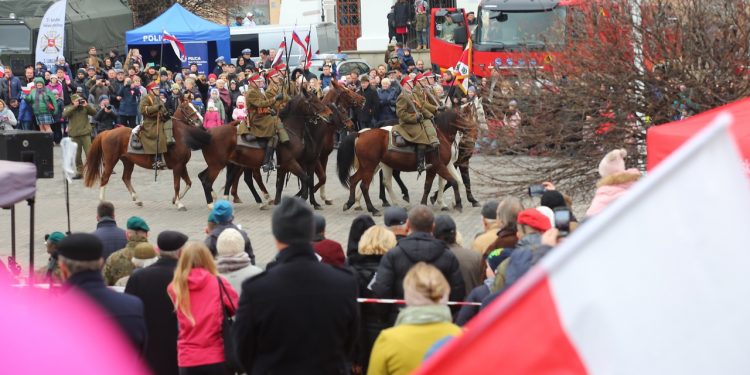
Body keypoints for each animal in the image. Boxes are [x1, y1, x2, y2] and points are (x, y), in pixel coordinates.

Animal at [338, 110, 472, 216]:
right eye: (463, 117)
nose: (471, 129)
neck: (439, 135)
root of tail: (360, 134)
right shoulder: (439, 165)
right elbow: (453, 182)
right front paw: (458, 204)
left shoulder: (435, 167)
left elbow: (429, 185)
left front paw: (426, 203)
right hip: (370, 166)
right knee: (365, 186)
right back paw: (373, 209)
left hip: (368, 166)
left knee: (354, 179)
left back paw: (351, 203)